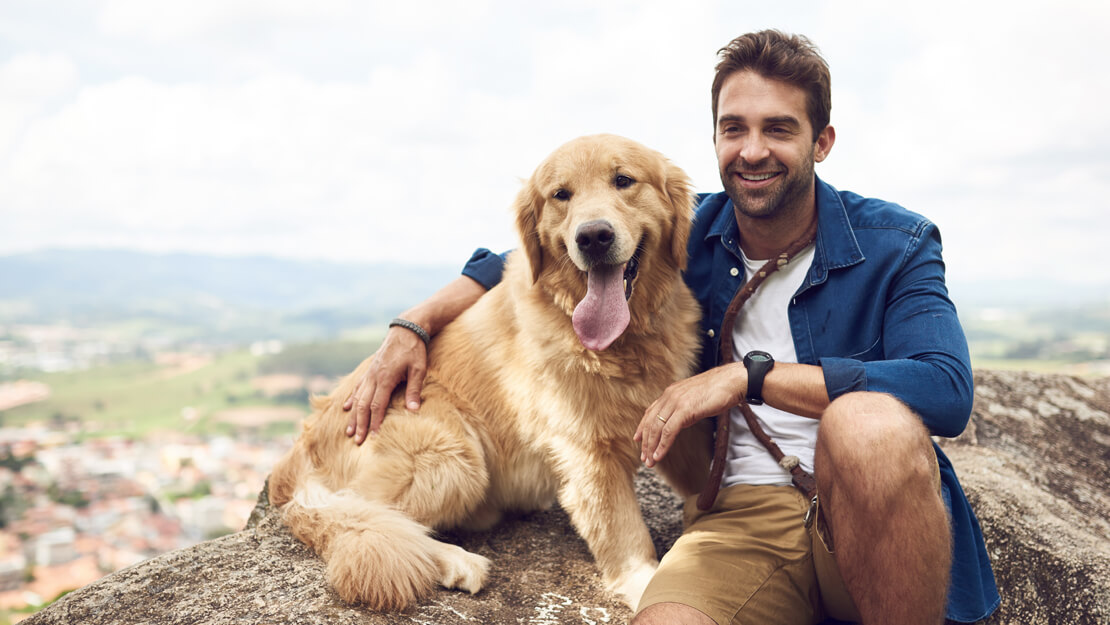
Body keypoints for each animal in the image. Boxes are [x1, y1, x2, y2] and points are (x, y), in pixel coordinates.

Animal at [266, 135, 710, 612]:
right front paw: (646, 583)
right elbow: (625, 534)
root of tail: (296, 454)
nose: (593, 236)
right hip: (451, 455)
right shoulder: (587, 451)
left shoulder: (670, 416)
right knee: (361, 517)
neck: (624, 342)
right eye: (561, 194)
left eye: (623, 180)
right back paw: (454, 561)